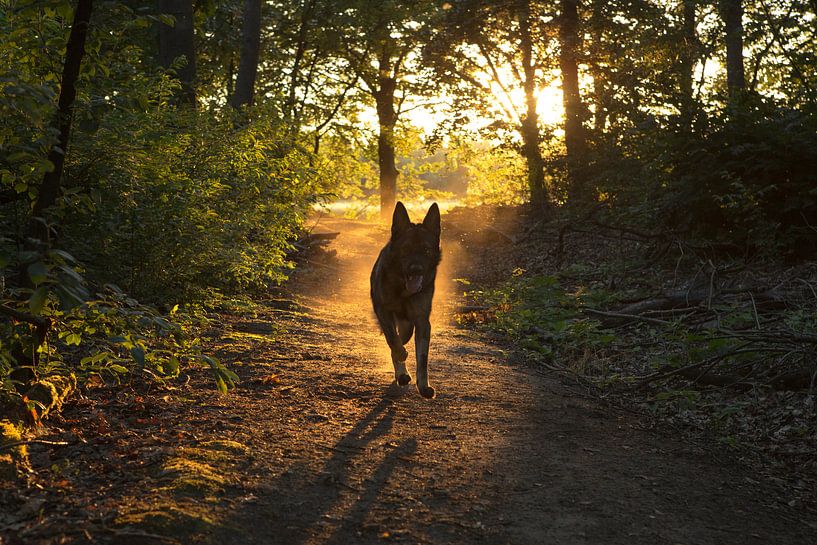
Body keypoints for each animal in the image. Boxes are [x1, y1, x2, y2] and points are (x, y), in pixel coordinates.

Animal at [372, 202, 440, 398]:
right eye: (406, 250)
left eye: (426, 250)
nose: (416, 269)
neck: (403, 290)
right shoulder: (383, 311)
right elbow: (392, 340)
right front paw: (400, 356)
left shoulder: (422, 322)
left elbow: (422, 358)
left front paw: (423, 386)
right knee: (394, 342)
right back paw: (401, 372)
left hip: (408, 326)